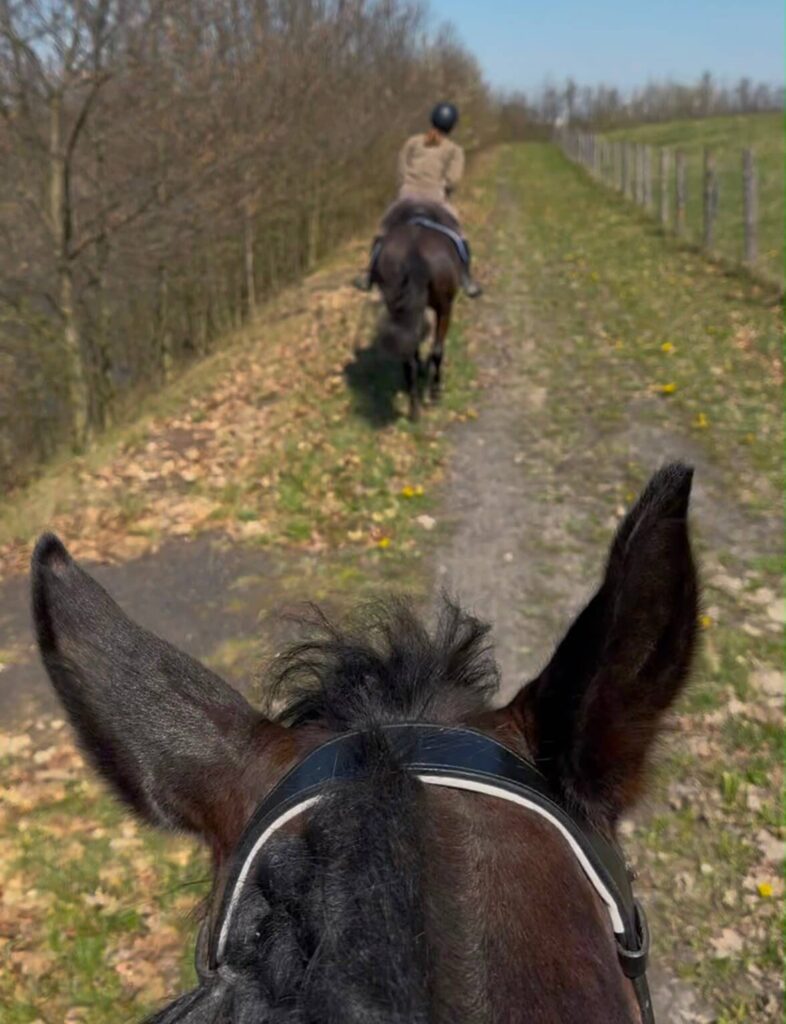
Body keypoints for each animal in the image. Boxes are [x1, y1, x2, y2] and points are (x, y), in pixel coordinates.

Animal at [373, 199, 462, 421]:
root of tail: (414, 249)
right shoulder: (442, 308)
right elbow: (436, 349)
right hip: (445, 307)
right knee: (437, 350)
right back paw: (434, 392)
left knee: (408, 361)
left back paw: (414, 409)